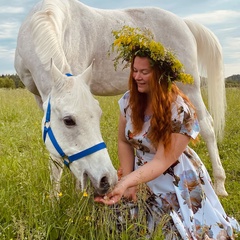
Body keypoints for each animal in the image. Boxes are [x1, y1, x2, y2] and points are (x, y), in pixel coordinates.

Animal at [15, 0, 227, 195]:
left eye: (98, 116)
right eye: (68, 121)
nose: (106, 179)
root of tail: (184, 23)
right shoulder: (40, 99)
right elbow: (55, 155)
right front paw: (57, 197)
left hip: (190, 88)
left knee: (207, 127)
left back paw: (219, 185)